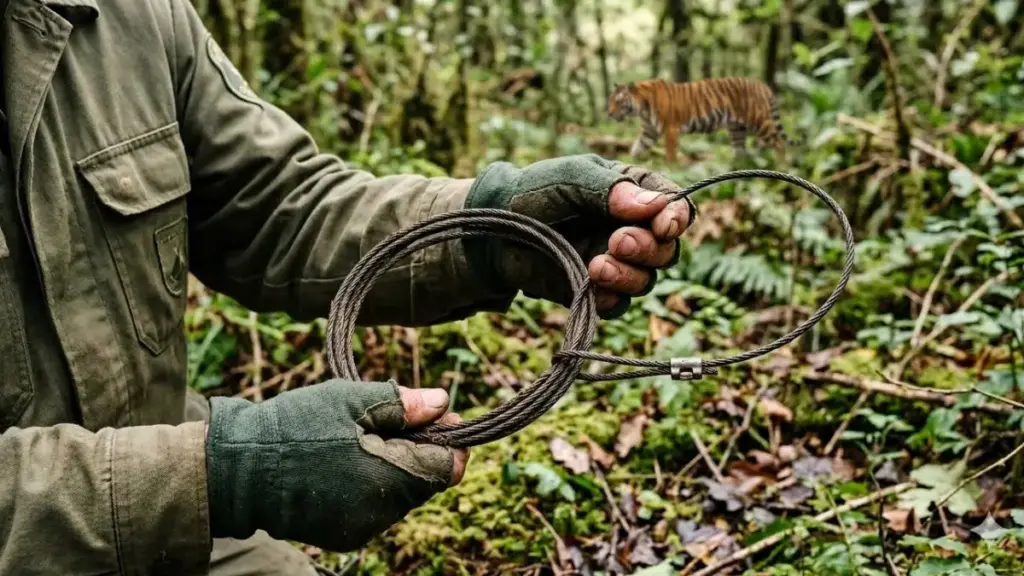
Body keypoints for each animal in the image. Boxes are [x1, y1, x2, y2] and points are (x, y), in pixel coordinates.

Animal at [606, 77, 802, 164]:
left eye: (618, 101)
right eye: (610, 100)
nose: (608, 113)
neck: (643, 109)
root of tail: (763, 85)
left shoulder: (670, 130)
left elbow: (670, 154)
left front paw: (671, 169)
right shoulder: (649, 132)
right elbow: (636, 148)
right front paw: (628, 163)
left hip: (759, 122)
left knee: (778, 143)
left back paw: (782, 166)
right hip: (736, 129)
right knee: (741, 150)